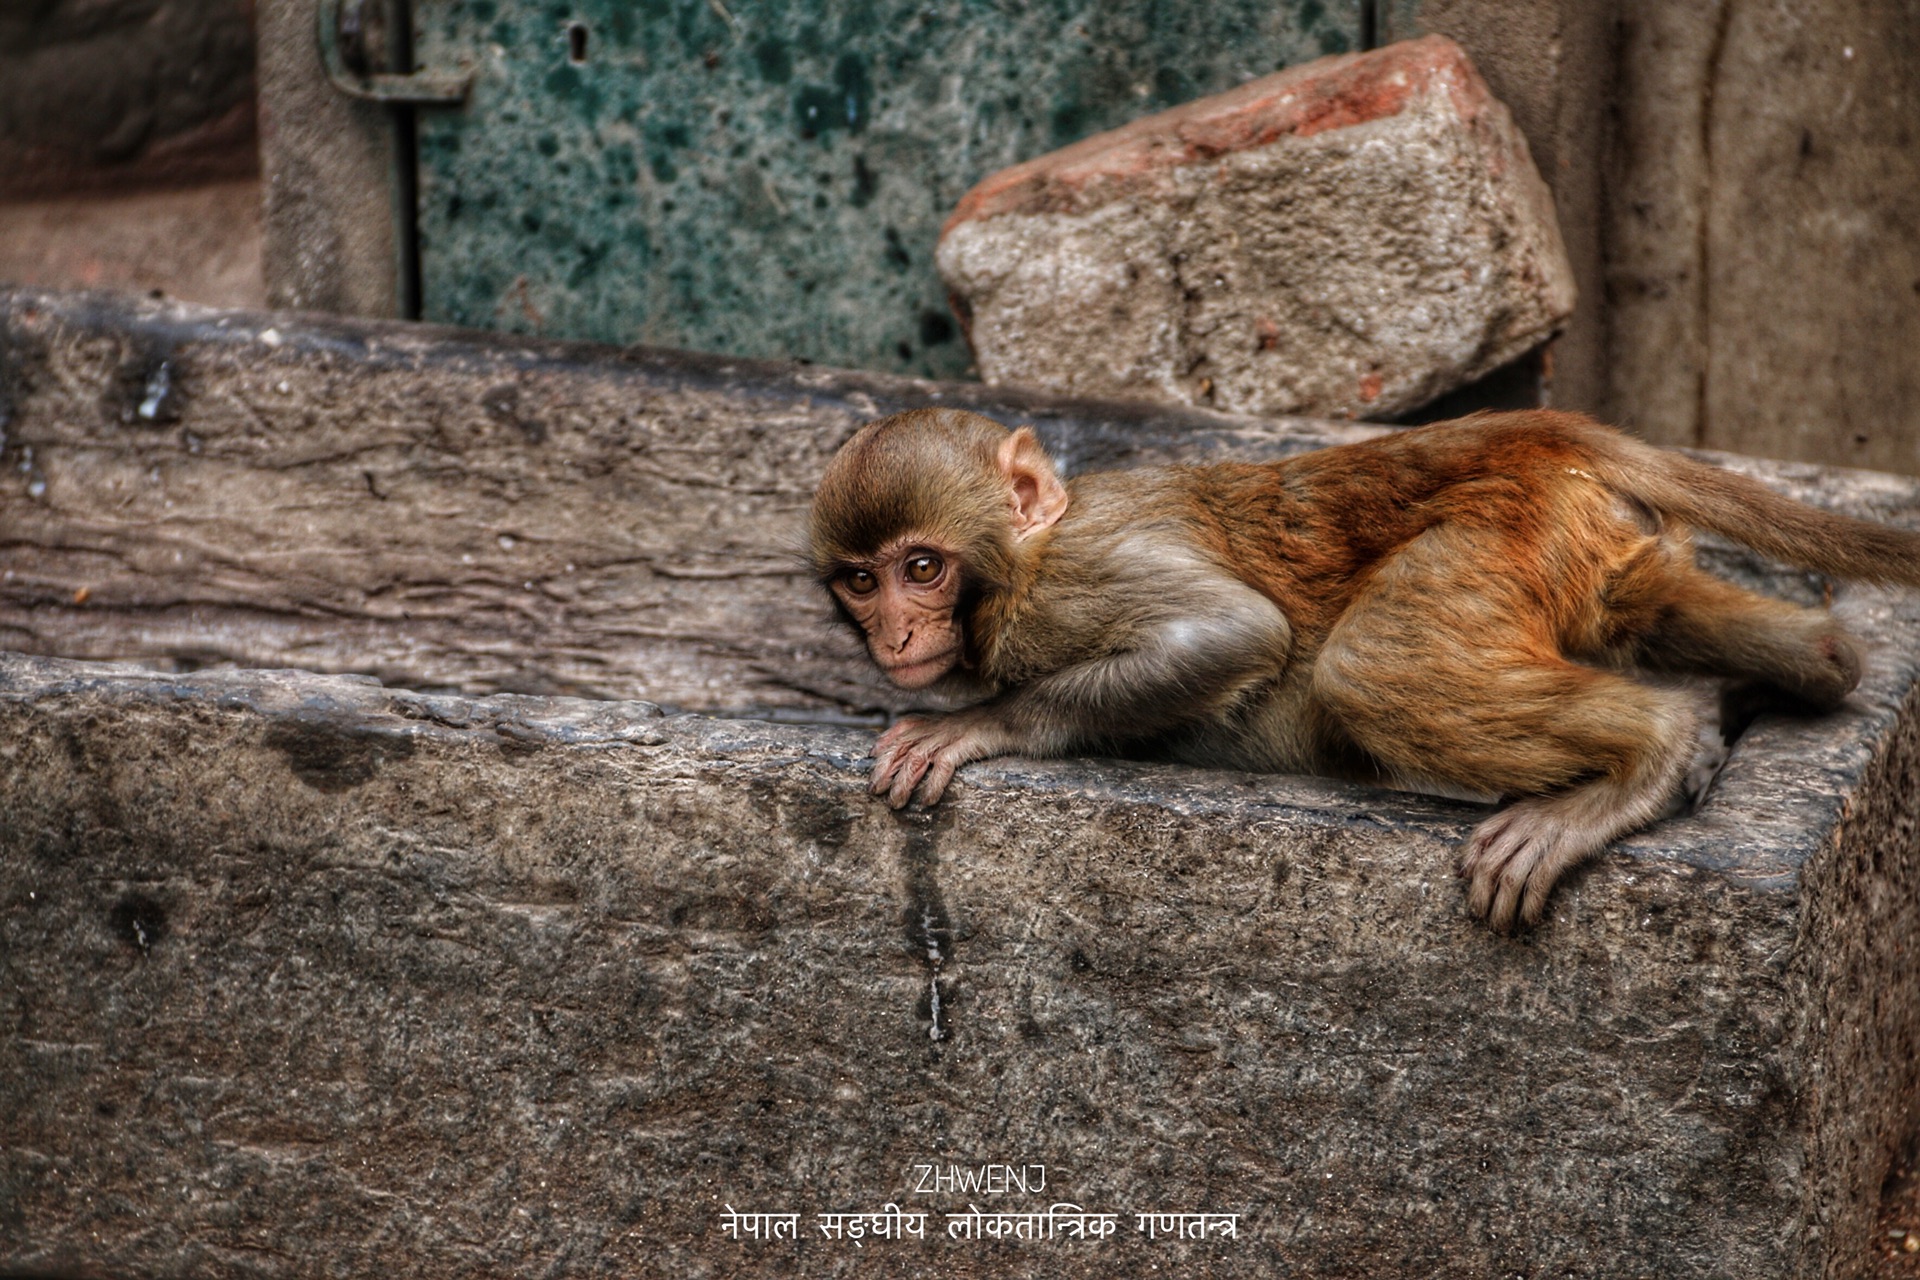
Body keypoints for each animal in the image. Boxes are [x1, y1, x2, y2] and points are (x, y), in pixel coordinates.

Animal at [810, 410, 1920, 932]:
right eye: (862, 580)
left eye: (921, 568)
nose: (895, 635)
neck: (1025, 547)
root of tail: (1537, 434)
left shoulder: (1063, 587)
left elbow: (1234, 633)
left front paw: (975, 726)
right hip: (1597, 551)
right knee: (1783, 644)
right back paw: (1812, 668)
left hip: (1497, 539)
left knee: (1366, 667)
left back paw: (1653, 754)